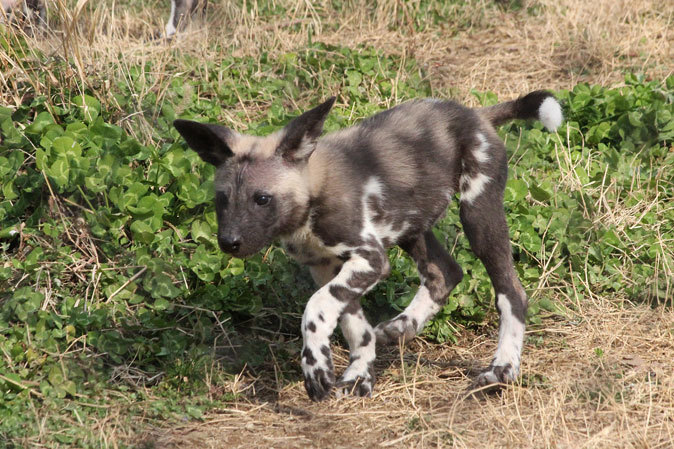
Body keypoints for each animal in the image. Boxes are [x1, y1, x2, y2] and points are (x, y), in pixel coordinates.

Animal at [172, 90, 560, 400]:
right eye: (222, 199)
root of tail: (476, 113)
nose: (229, 242)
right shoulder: (327, 267)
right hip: (411, 228)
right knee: (445, 272)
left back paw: (502, 370)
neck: (311, 201)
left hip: (478, 218)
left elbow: (314, 310)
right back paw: (402, 327)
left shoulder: (370, 260)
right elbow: (353, 327)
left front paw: (315, 367)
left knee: (511, 293)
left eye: (262, 199)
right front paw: (357, 376)